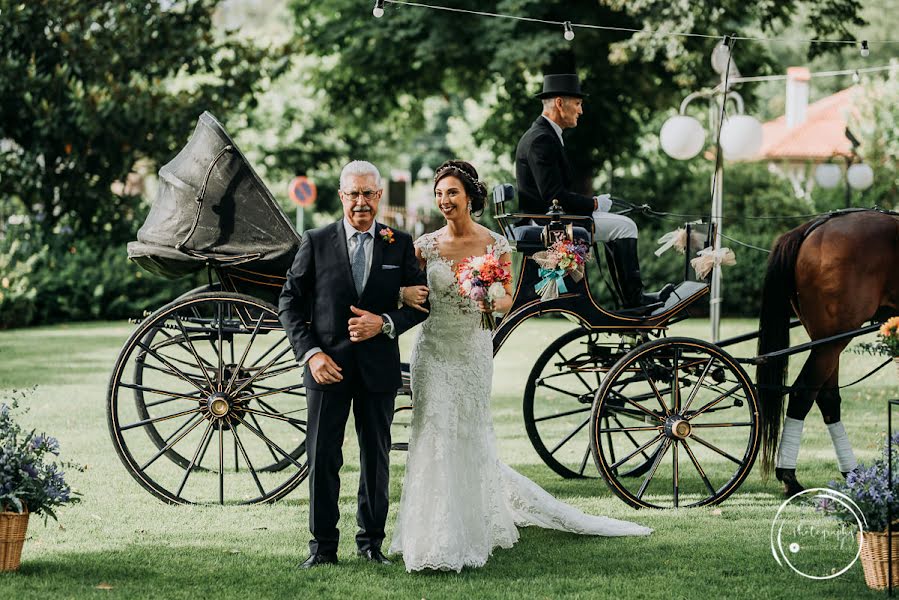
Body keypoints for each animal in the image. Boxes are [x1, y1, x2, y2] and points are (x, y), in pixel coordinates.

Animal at [760, 209, 899, 494]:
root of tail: (814, 227)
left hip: (827, 342)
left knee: (827, 398)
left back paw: (853, 474)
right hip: (831, 341)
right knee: (803, 393)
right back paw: (789, 476)